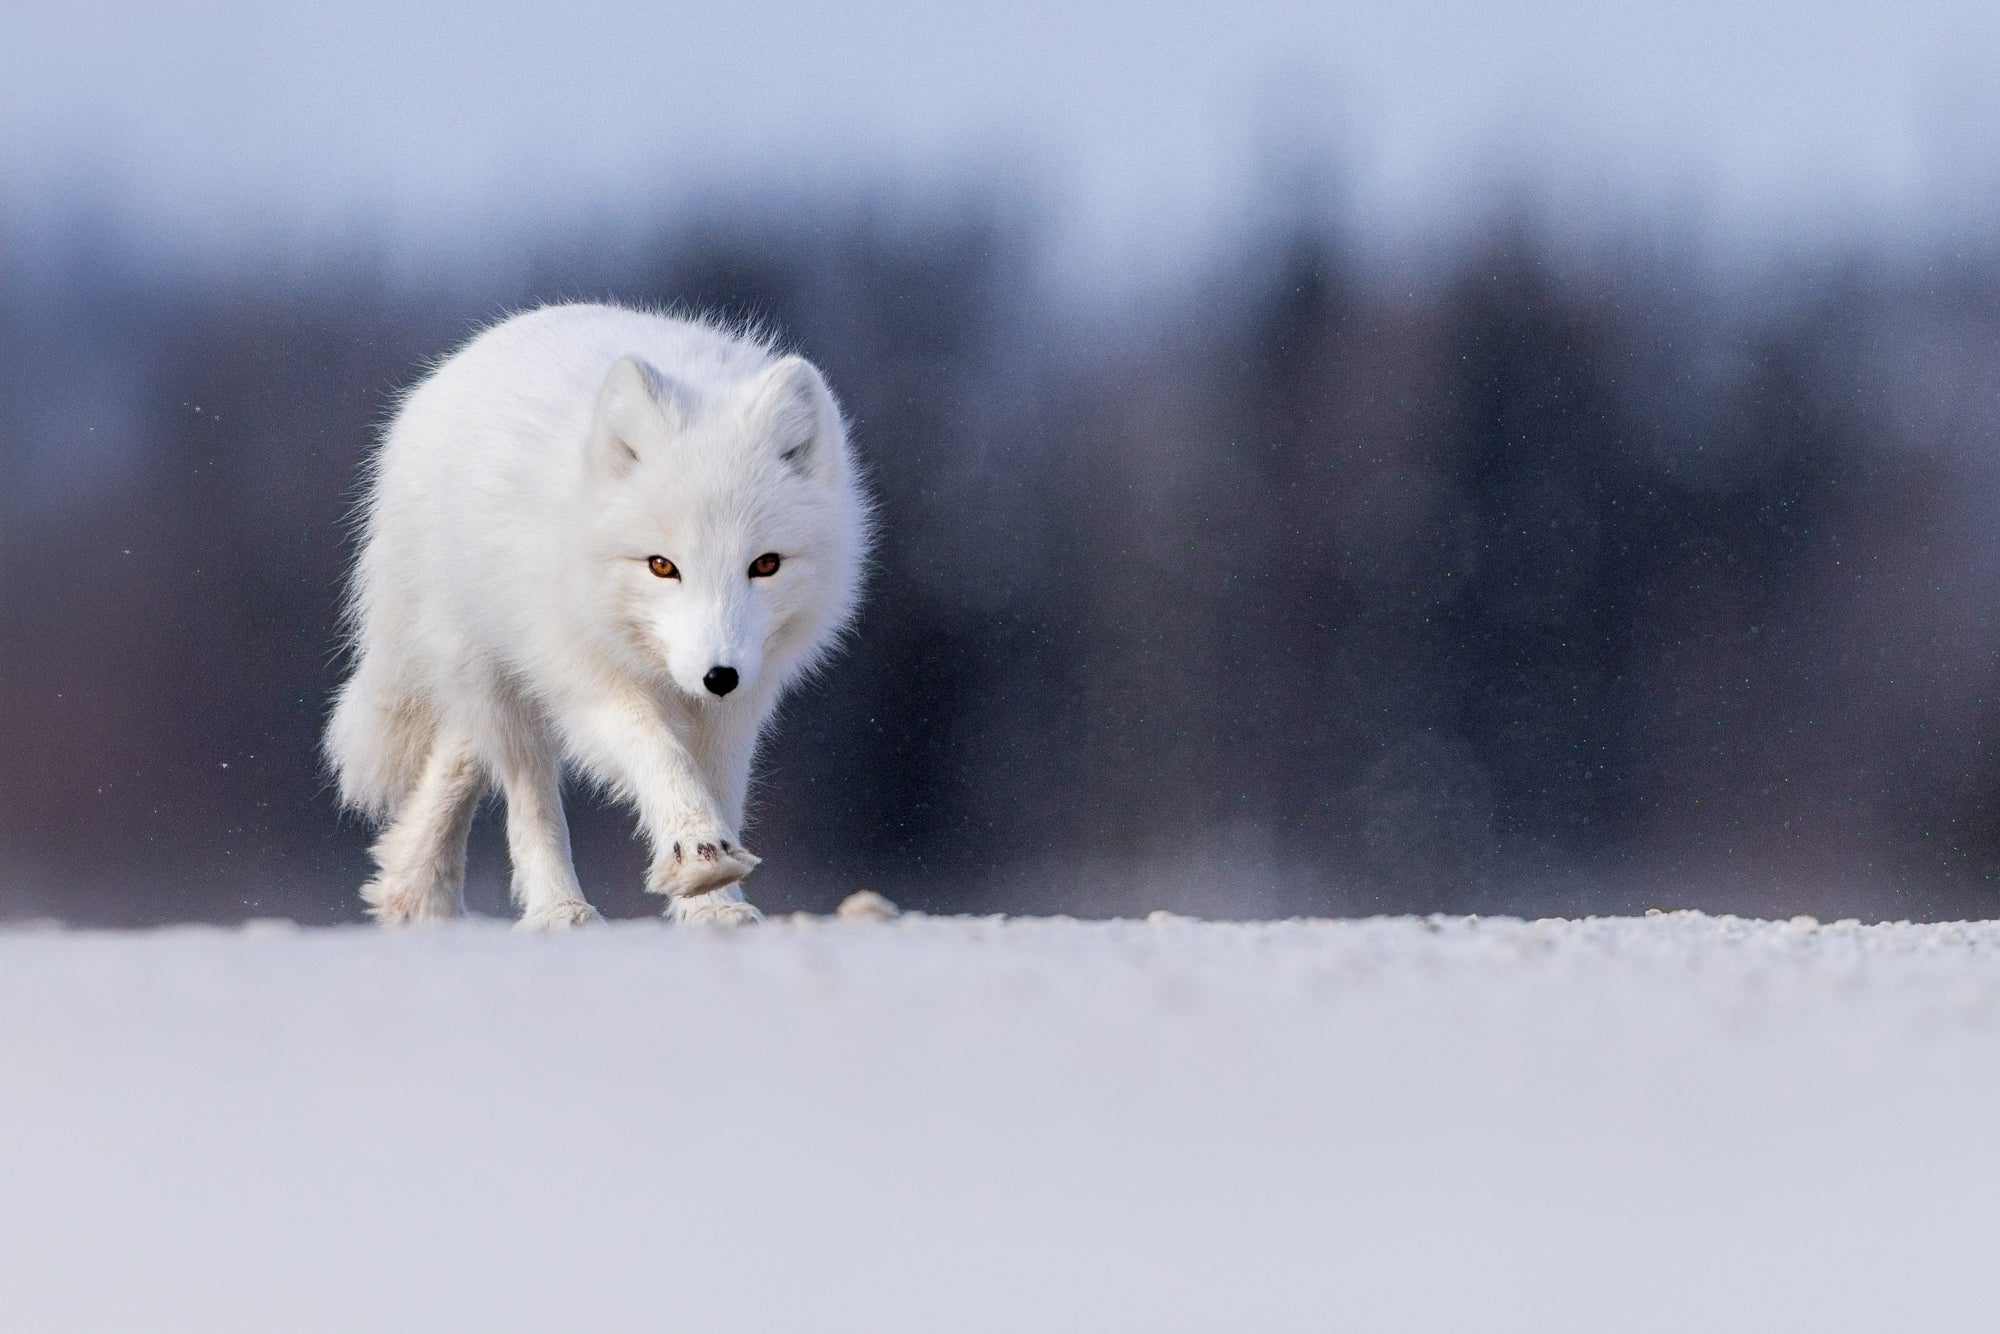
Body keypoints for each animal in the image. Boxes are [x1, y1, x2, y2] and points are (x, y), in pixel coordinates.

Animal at [324, 302, 872, 928]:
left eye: (765, 564)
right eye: (661, 566)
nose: (718, 676)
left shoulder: (742, 701)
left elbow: (717, 787)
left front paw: (715, 905)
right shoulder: (588, 680)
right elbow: (658, 753)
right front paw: (699, 855)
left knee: (464, 750)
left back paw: (411, 891)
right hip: (498, 678)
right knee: (528, 795)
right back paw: (557, 907)